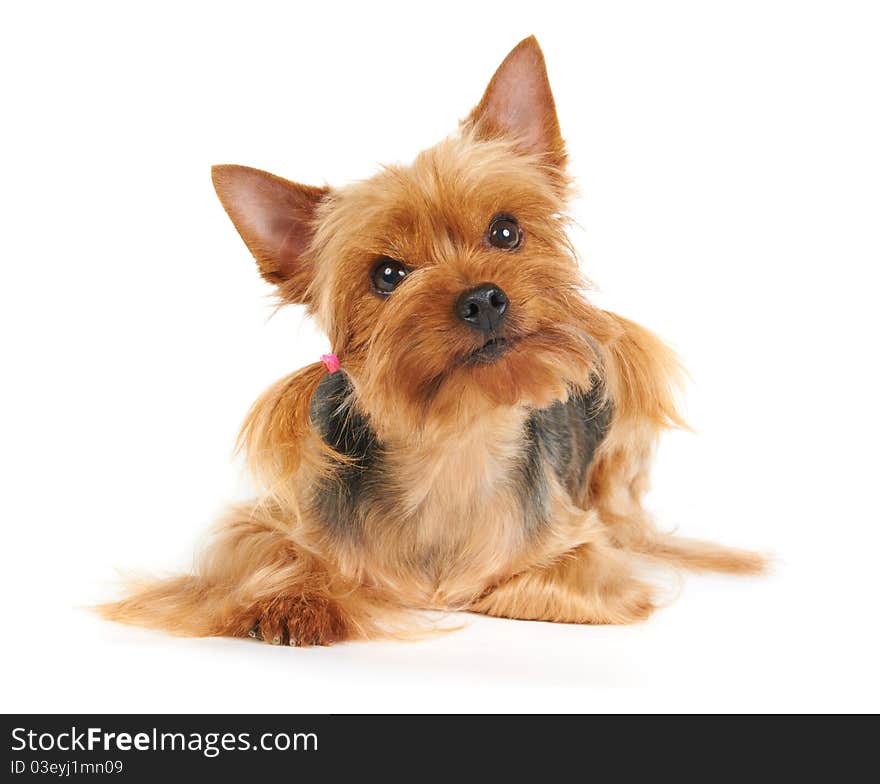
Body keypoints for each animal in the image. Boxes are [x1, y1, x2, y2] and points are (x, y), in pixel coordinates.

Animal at [101, 36, 764, 648]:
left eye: (506, 231)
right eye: (387, 275)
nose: (484, 299)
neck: (455, 443)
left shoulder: (581, 551)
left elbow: (539, 580)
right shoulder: (275, 519)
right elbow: (267, 558)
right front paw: (293, 601)